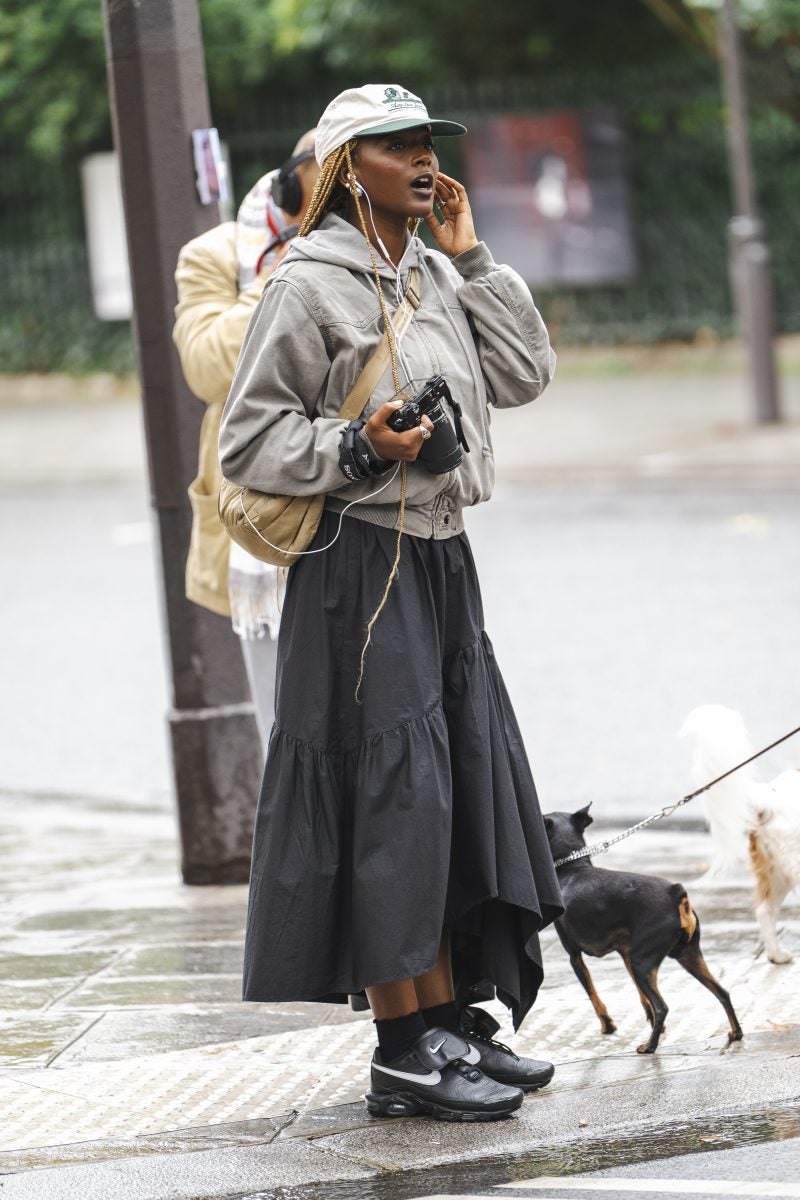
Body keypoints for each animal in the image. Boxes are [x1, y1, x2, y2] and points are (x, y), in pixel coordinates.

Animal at [544, 806, 743, 1051]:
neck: (571, 867)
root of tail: (676, 893)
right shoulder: (626, 953)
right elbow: (641, 995)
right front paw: (650, 1020)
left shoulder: (575, 957)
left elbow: (593, 995)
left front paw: (607, 1025)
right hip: (686, 955)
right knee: (722, 992)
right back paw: (735, 1033)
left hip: (644, 961)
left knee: (662, 1006)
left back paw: (650, 1046)